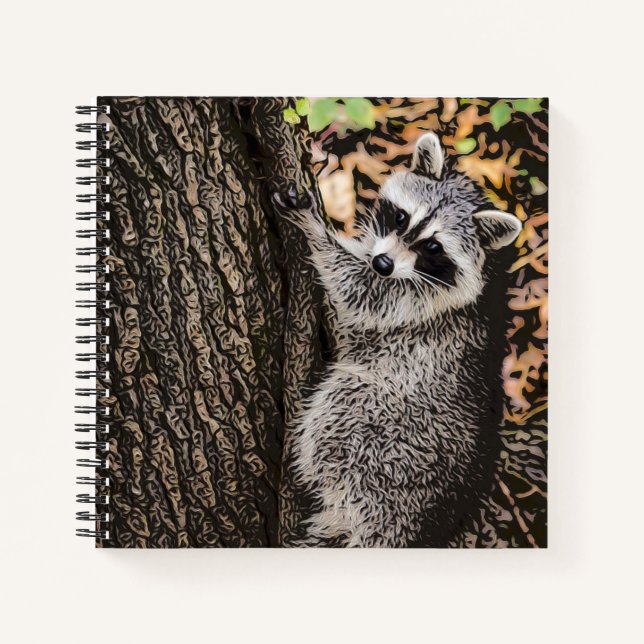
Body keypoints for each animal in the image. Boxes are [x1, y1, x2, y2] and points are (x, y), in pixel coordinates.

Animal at [274, 133, 522, 547]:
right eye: (401, 217)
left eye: (434, 247)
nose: (383, 264)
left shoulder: (420, 304)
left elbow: (359, 290)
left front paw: (316, 231)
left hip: (387, 443)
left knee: (344, 402)